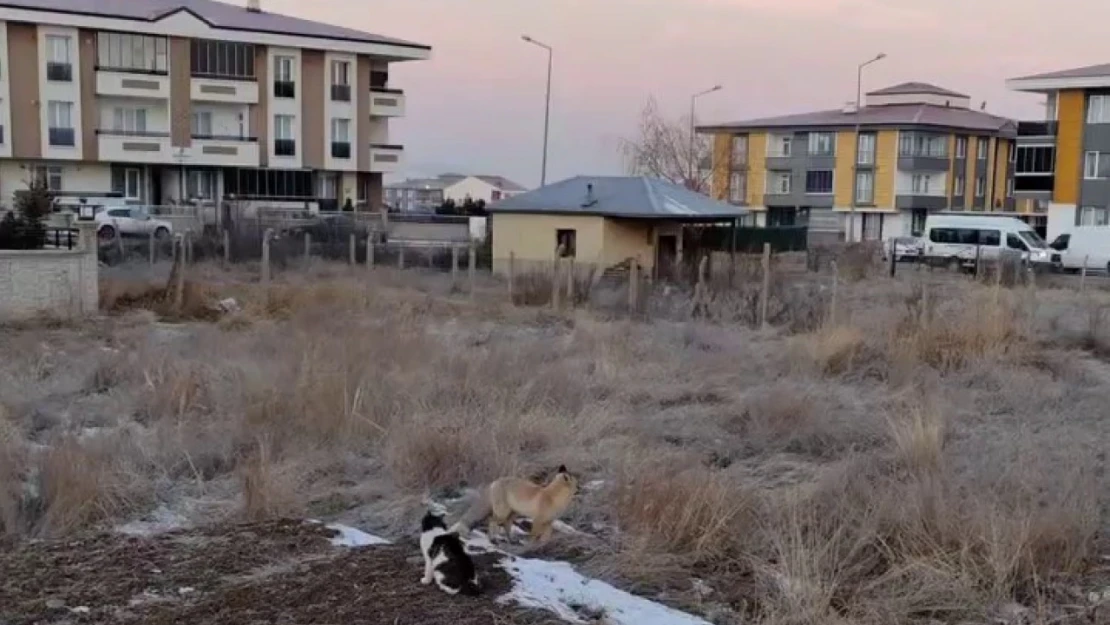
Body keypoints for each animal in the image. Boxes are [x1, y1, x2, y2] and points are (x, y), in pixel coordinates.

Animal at [448, 461, 577, 546]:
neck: (553, 498)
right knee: (492, 521)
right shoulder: (537, 520)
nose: (579, 488)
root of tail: (495, 482)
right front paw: (531, 546)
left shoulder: (549, 522)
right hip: (502, 513)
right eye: (577, 482)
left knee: (506, 526)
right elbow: (533, 536)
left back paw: (511, 540)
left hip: (512, 514)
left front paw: (542, 547)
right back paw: (492, 539)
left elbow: (545, 538)